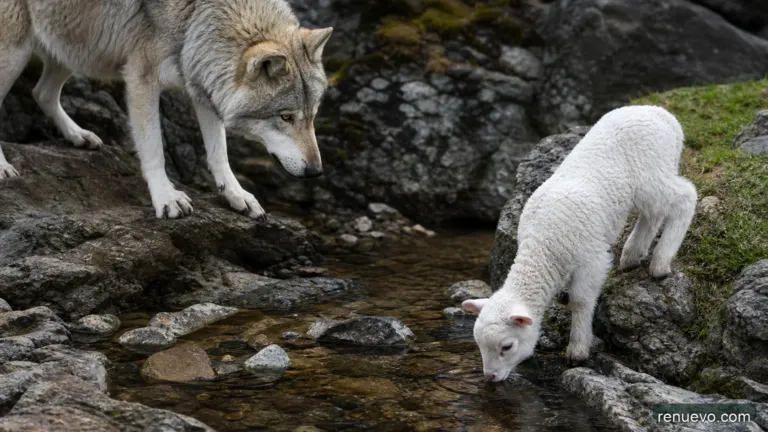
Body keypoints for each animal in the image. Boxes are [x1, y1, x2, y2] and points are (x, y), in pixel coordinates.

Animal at [0, 0, 332, 219]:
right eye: (285, 117)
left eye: (313, 116)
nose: (316, 171)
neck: (197, 15)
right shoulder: (141, 80)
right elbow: (154, 149)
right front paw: (166, 197)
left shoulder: (202, 81)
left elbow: (219, 153)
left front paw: (236, 194)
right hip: (17, 51)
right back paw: (3, 167)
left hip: (74, 45)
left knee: (42, 93)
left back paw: (78, 136)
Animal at [463, 106, 697, 382]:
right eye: (478, 345)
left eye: (507, 346)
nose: (489, 377)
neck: (541, 249)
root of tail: (663, 115)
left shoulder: (591, 258)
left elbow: (581, 300)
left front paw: (578, 348)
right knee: (653, 213)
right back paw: (632, 255)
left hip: (652, 173)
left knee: (685, 197)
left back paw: (661, 262)